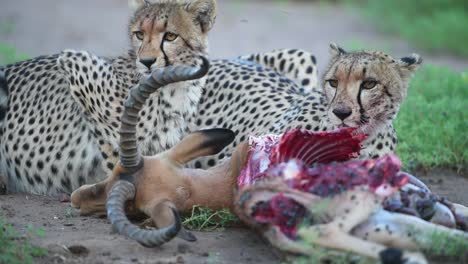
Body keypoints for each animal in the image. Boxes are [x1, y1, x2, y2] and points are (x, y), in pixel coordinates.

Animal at [0, 0, 218, 194]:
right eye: (140, 34)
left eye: (171, 36)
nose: (146, 61)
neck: (175, 88)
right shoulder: (75, 65)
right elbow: (119, 159)